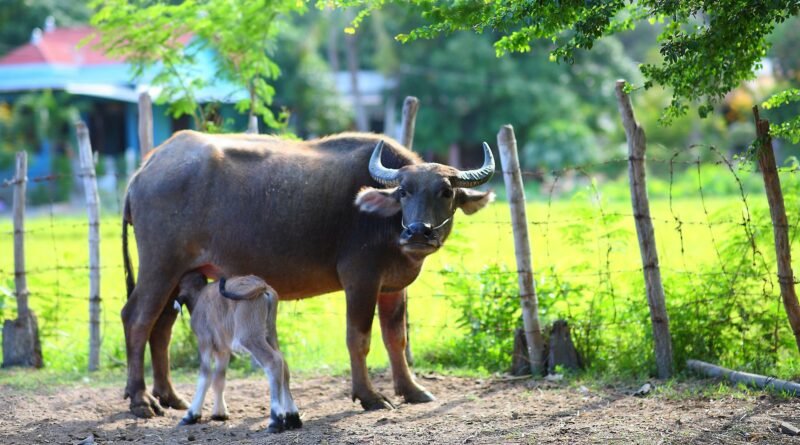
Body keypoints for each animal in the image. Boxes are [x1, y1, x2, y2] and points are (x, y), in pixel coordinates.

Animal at [122, 128, 494, 416]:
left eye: (445, 191)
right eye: (404, 192)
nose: (418, 232)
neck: (383, 220)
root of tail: (145, 169)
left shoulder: (392, 285)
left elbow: (396, 338)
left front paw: (412, 390)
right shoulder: (360, 280)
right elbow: (359, 338)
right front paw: (369, 396)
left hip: (179, 274)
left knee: (162, 328)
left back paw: (170, 396)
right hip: (159, 266)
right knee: (137, 319)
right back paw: (141, 400)